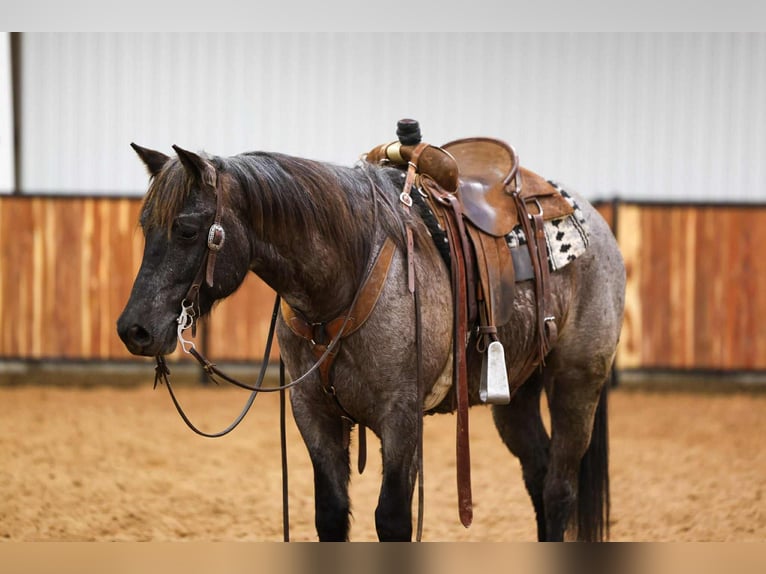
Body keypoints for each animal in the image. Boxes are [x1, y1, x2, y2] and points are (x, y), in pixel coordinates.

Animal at [117, 139, 625, 542]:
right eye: (144, 227)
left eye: (186, 229)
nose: (133, 329)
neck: (345, 277)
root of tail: (593, 220)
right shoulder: (312, 412)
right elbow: (331, 514)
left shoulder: (402, 416)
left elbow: (393, 519)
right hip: (515, 392)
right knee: (538, 475)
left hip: (577, 382)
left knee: (558, 489)